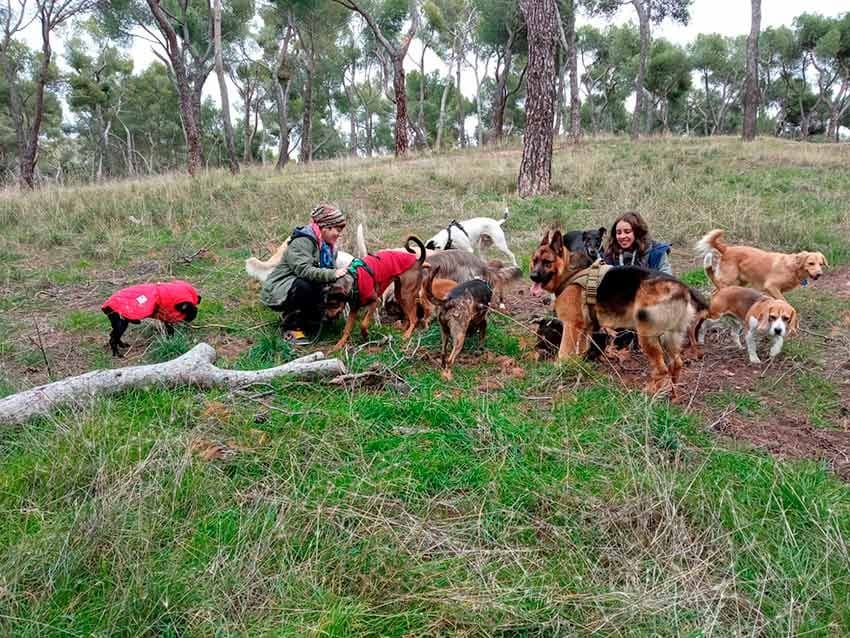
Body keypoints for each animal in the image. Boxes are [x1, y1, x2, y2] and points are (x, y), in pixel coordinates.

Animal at [528, 230, 704, 396]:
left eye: (547, 262)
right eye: (534, 261)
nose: (532, 276)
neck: (568, 272)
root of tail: (683, 288)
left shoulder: (570, 326)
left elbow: (563, 354)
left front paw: (557, 370)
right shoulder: (585, 328)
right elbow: (581, 350)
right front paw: (578, 366)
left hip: (647, 337)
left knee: (662, 369)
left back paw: (649, 393)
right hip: (669, 339)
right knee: (676, 364)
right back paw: (672, 394)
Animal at [696, 230, 828, 300]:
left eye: (821, 264)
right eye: (811, 263)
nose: (819, 274)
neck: (792, 268)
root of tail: (727, 249)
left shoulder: (776, 291)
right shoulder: (771, 286)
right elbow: (784, 301)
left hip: (739, 282)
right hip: (729, 280)